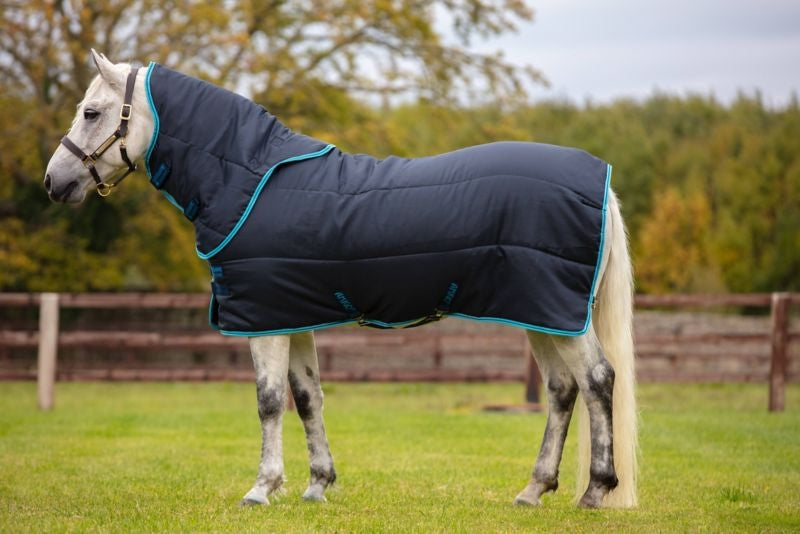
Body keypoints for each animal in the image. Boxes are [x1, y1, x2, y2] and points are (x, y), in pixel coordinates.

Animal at [44, 50, 637, 508]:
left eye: (92, 112)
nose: (54, 182)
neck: (247, 178)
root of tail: (602, 181)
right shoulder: (290, 315)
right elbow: (308, 398)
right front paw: (316, 486)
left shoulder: (263, 320)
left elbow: (268, 401)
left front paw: (262, 489)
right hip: (542, 314)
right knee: (562, 390)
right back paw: (533, 491)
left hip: (556, 313)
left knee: (597, 380)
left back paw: (595, 491)